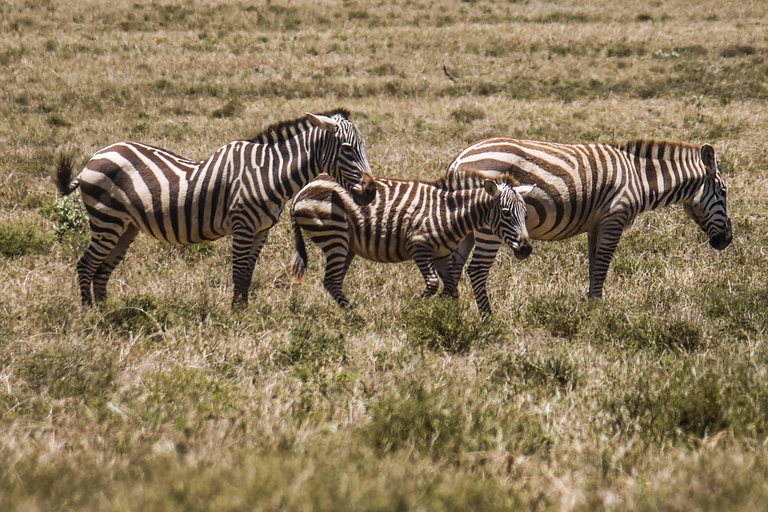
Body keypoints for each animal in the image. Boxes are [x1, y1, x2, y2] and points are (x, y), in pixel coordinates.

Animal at [54, 108, 378, 306]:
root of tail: (96, 156)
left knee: (102, 269)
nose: (371, 191)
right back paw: (89, 315)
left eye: (364, 147)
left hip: (126, 227)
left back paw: (104, 312)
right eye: (348, 149)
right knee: (86, 264)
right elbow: (239, 272)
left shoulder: (261, 230)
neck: (269, 172)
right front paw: (236, 317)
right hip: (106, 220)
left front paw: (244, 312)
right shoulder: (243, 225)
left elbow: (248, 274)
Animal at [288, 171, 536, 312]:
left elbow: (451, 287)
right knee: (331, 280)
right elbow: (433, 284)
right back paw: (356, 318)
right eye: (506, 213)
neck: (451, 212)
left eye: (525, 214)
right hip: (335, 236)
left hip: (345, 244)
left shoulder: (441, 255)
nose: (526, 248)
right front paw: (412, 308)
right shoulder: (419, 245)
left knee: (334, 282)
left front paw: (448, 317)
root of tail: (303, 189)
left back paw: (351, 315)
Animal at [438, 138, 732, 302]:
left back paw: (451, 312)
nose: (727, 241)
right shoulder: (614, 220)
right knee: (476, 270)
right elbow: (602, 266)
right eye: (724, 191)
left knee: (453, 266)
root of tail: (458, 160)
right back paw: (484, 319)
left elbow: (593, 266)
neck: (638, 179)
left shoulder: (596, 225)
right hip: (489, 227)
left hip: (467, 225)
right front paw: (598, 310)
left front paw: (591, 304)